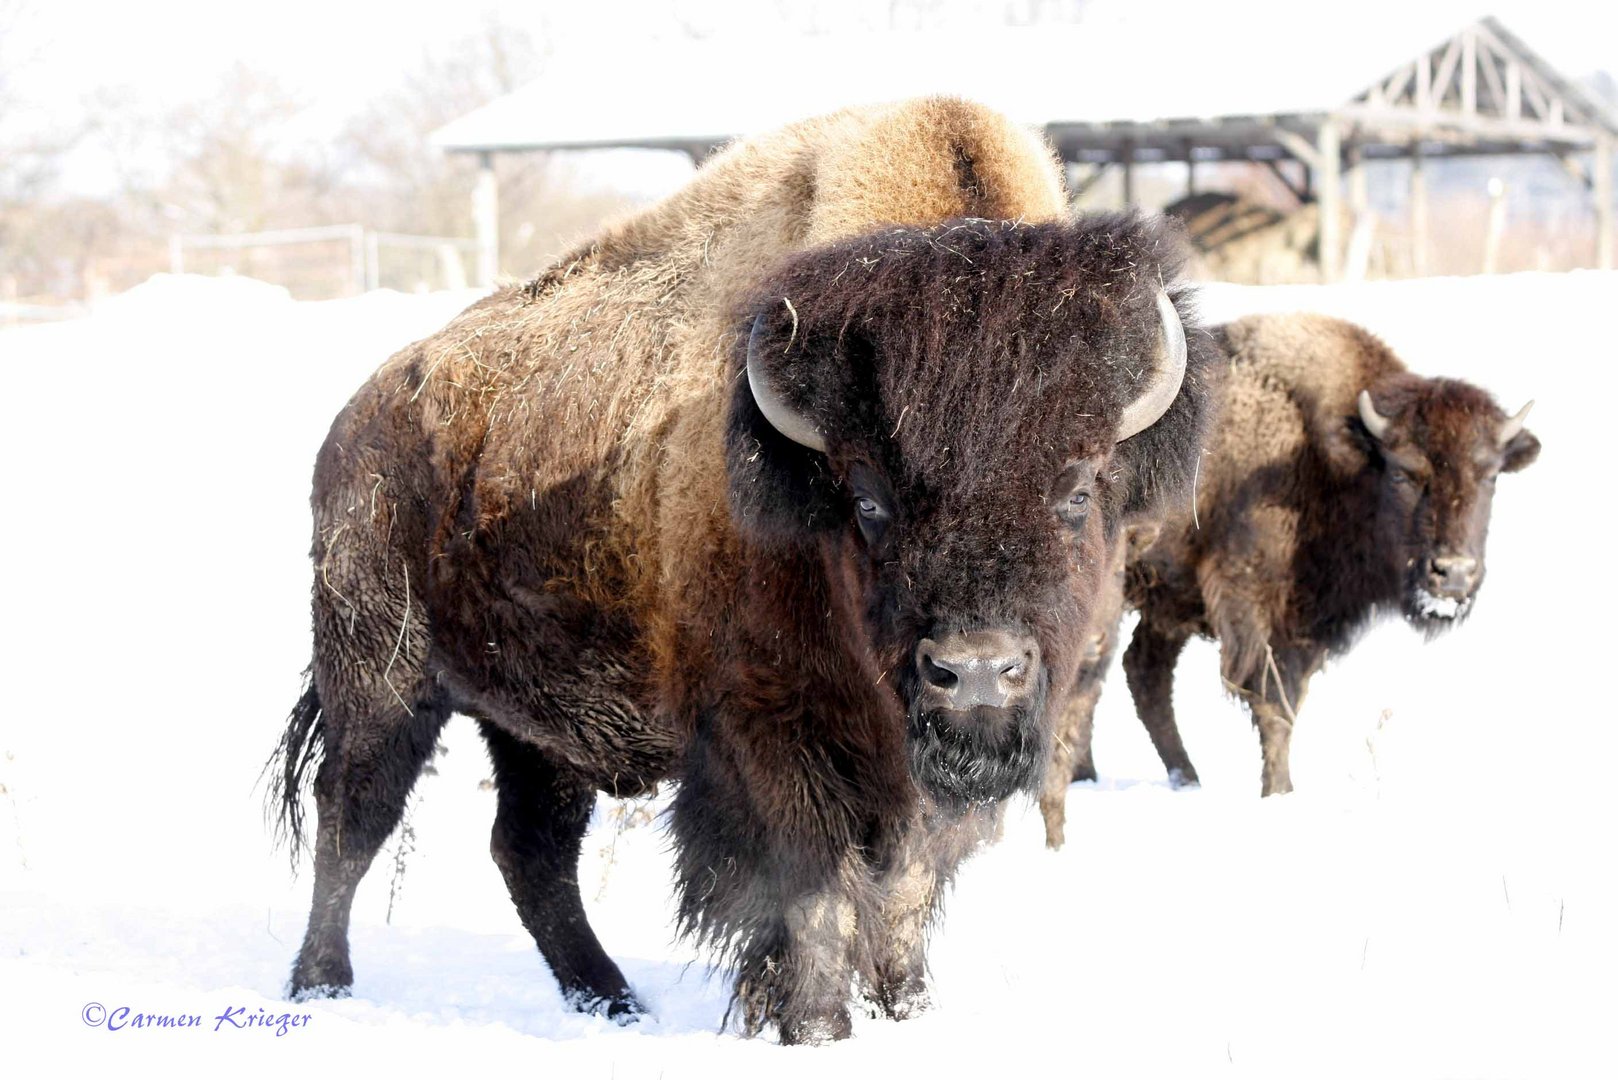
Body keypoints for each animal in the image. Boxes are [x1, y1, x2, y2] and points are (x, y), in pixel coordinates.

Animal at [275, 97, 1216, 1042]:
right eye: (866, 497)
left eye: (1078, 486)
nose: (976, 672)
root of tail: (353, 423)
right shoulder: (768, 734)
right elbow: (812, 896)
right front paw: (816, 1026)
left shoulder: (920, 782)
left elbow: (906, 890)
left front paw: (908, 1010)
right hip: (383, 679)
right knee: (353, 816)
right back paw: (321, 987)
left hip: (534, 729)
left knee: (529, 850)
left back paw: (614, 1002)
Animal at [1041, 312, 1533, 841]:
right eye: (1403, 473)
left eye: (1490, 475)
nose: (1453, 573)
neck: (1325, 452)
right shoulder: (1253, 605)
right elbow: (1273, 702)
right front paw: (1279, 792)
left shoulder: (1302, 624)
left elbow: (1290, 699)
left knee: (1137, 673)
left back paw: (1173, 778)